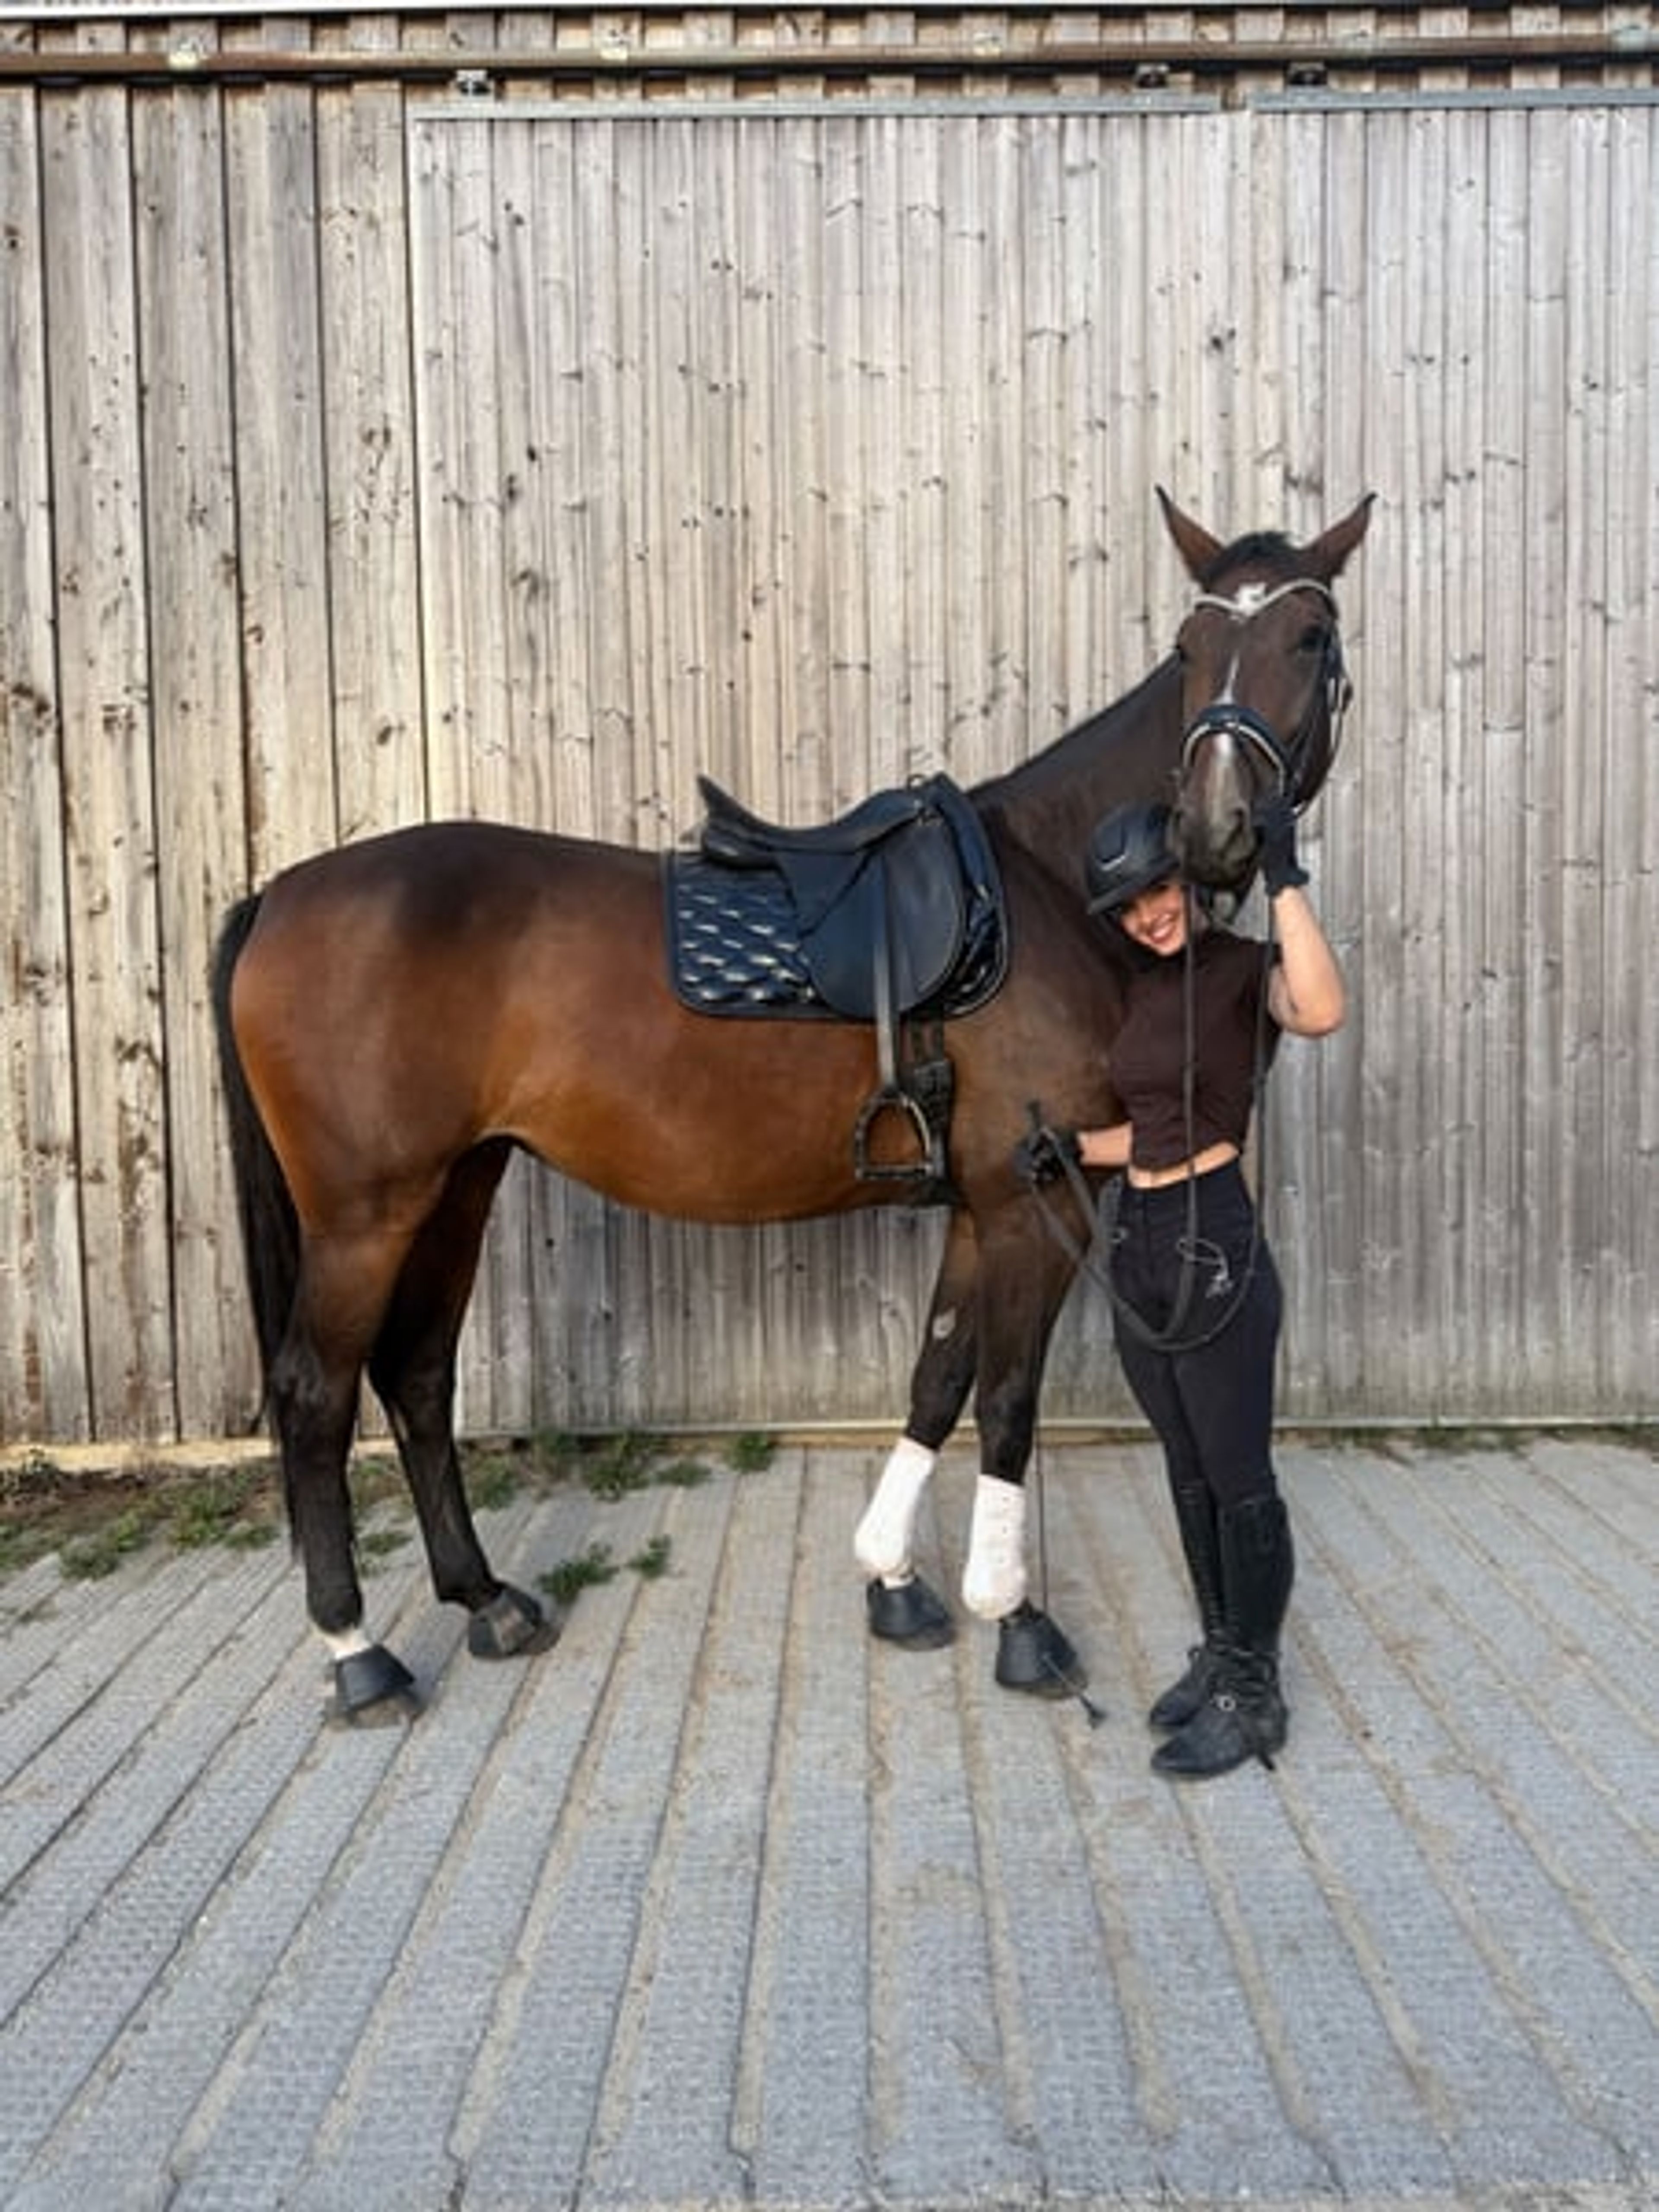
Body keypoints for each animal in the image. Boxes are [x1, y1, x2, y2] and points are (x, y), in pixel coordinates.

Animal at [211, 488, 1373, 1722]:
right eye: (1190, 648)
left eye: (1308, 638)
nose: (1214, 828)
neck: (1046, 889)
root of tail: (279, 892)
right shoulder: (1035, 1205)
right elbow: (1008, 1400)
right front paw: (1016, 1620)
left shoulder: (980, 1207)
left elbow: (938, 1376)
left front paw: (895, 1582)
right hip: (365, 1215)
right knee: (317, 1393)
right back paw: (359, 1652)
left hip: (455, 1190)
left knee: (420, 1376)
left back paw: (485, 1600)